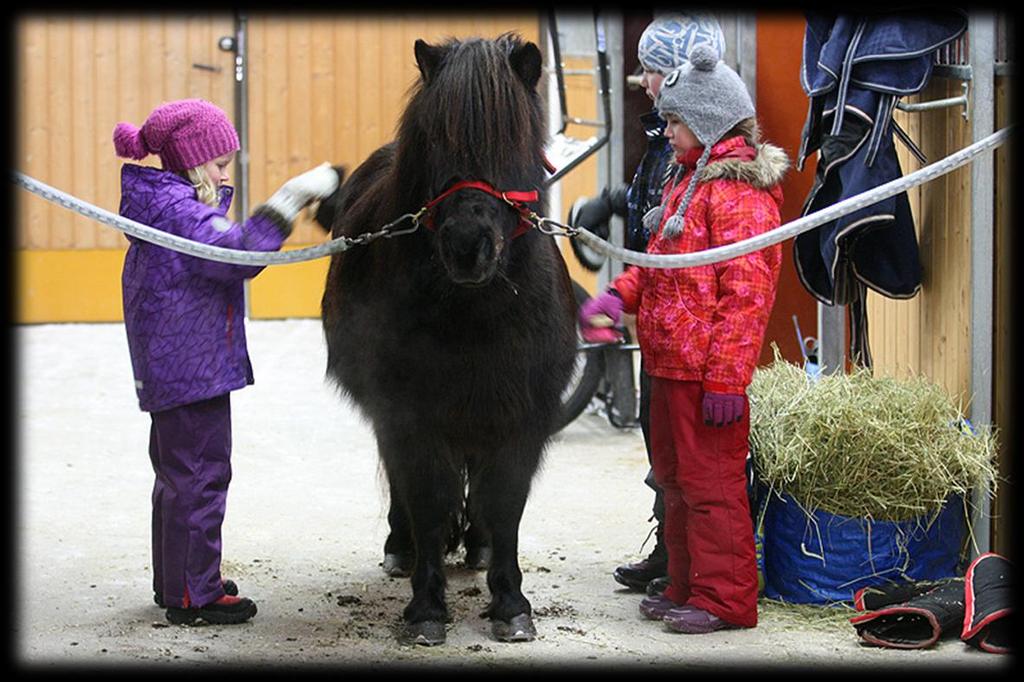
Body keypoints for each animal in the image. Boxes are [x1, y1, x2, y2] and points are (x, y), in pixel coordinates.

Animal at [315, 35, 581, 643]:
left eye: (515, 138)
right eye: (435, 142)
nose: (467, 246)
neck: (474, 311)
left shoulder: (520, 415)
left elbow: (503, 500)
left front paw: (511, 604)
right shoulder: (410, 414)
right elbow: (429, 499)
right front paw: (426, 608)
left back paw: (477, 546)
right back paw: (402, 547)